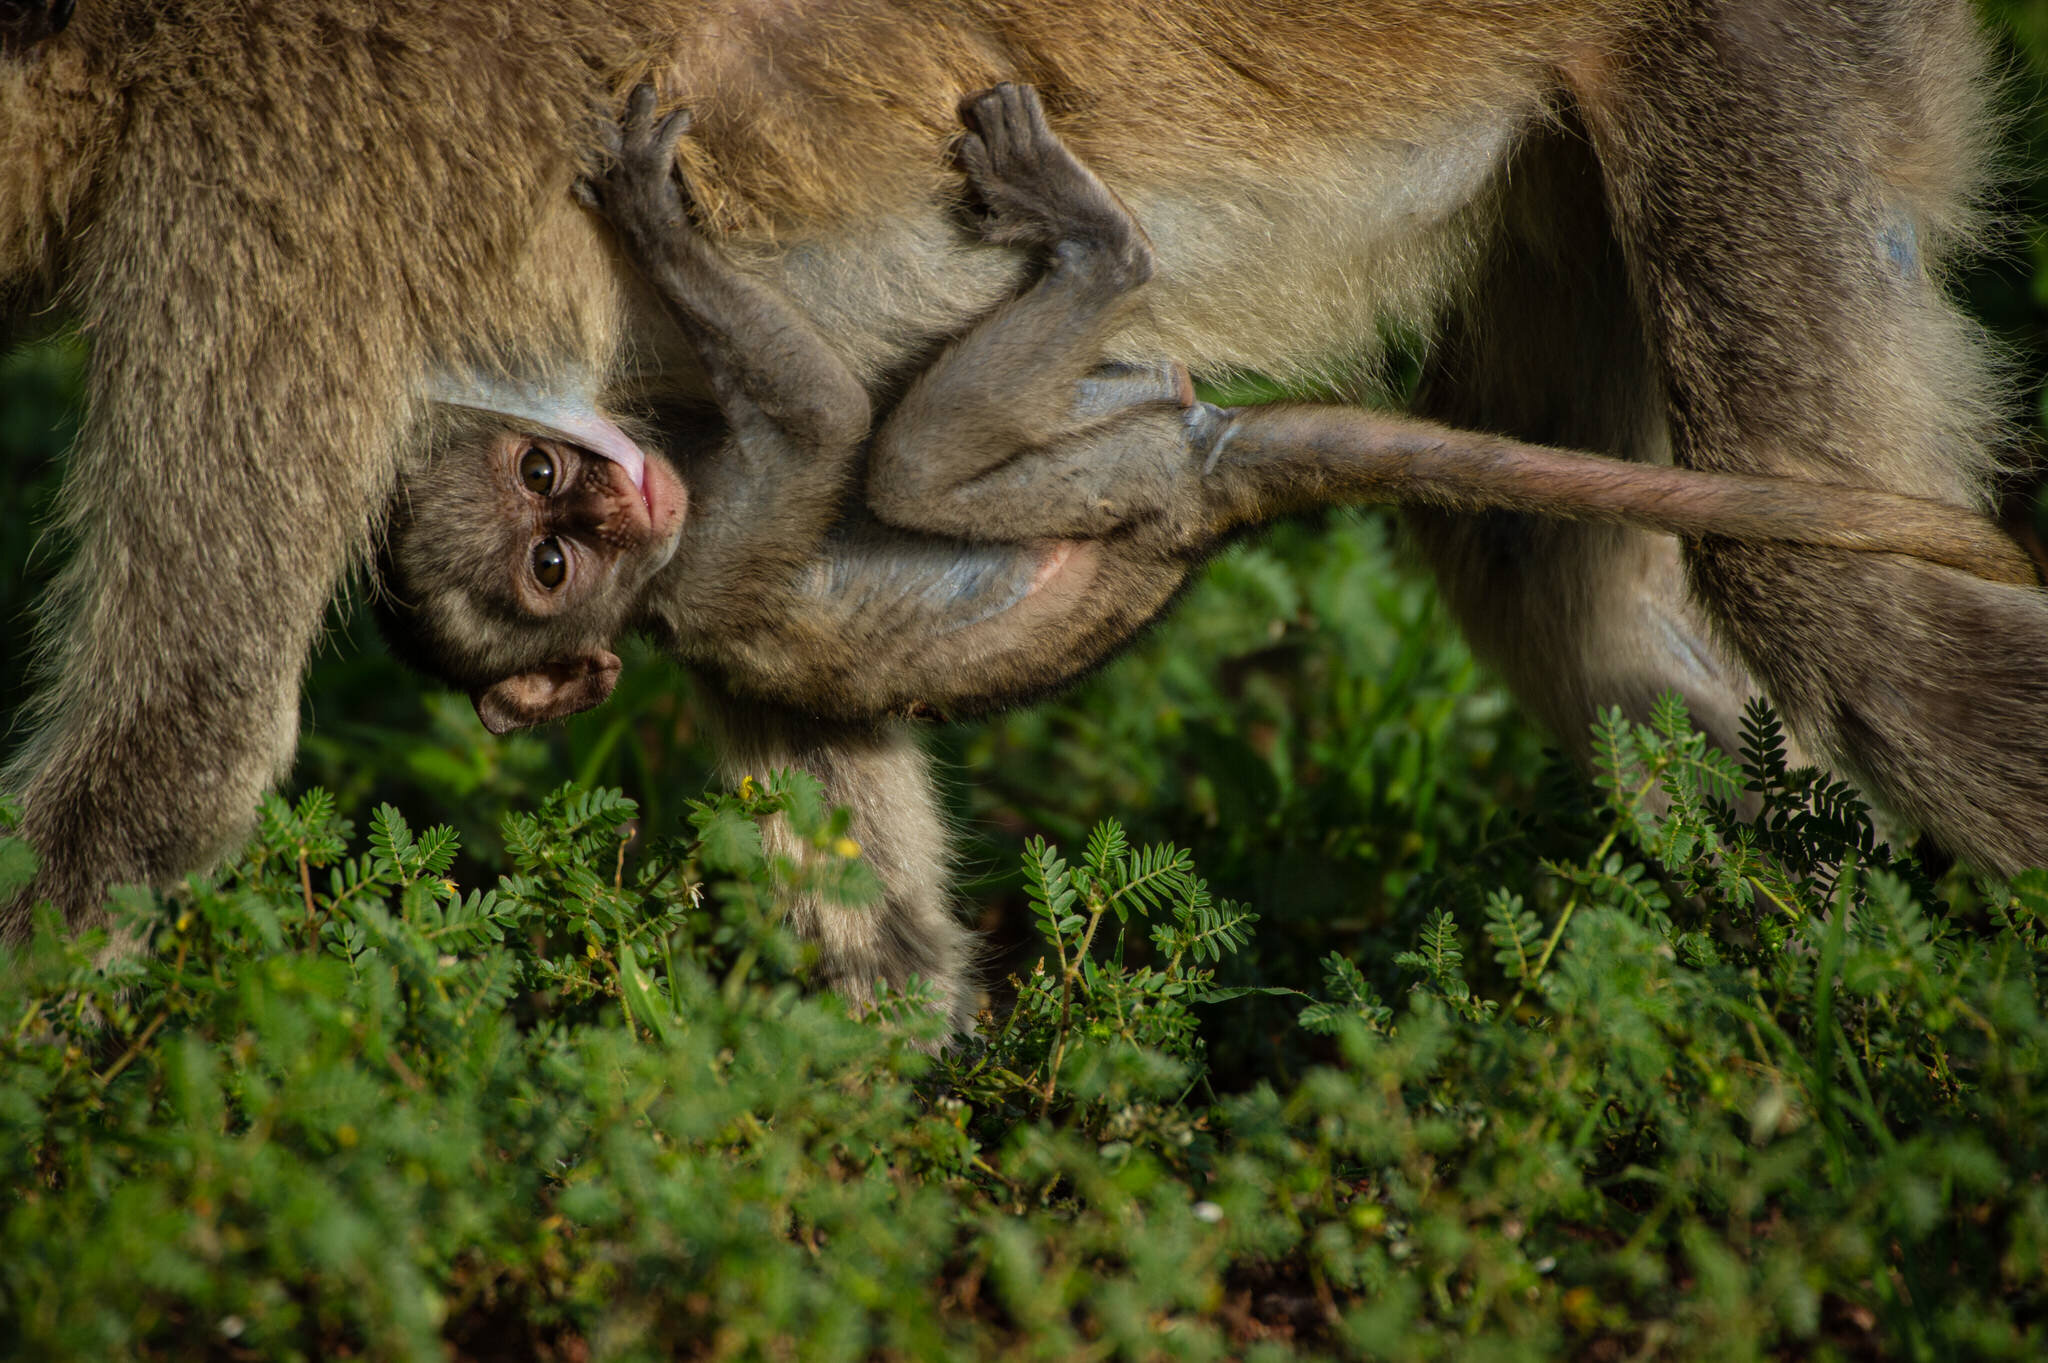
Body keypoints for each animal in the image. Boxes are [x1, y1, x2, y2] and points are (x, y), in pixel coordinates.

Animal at [380, 80, 2015, 736]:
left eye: (541, 481)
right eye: (550, 567)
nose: (610, 498)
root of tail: (1203, 494)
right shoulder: (704, 558)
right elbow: (832, 439)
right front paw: (662, 231)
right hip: (1107, 483)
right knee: (910, 460)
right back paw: (1105, 253)